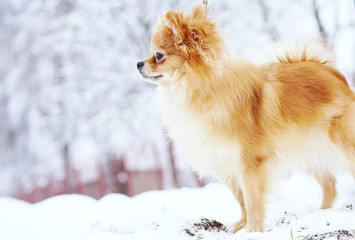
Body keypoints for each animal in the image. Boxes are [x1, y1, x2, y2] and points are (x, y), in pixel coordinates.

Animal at [137, 6, 355, 232]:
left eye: (158, 56)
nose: (138, 63)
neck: (196, 91)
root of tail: (329, 71)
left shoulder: (250, 163)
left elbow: (252, 201)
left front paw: (254, 230)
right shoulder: (226, 161)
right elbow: (241, 198)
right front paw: (241, 225)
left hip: (343, 142)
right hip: (306, 151)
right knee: (329, 182)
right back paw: (320, 213)